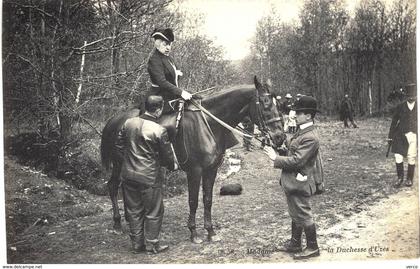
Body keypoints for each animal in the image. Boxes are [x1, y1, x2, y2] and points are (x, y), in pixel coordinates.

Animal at [101, 76, 286, 243]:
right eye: (265, 103)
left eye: (278, 104)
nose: (279, 137)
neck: (208, 124)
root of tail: (115, 119)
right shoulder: (194, 171)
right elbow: (193, 200)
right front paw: (194, 232)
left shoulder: (211, 169)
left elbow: (207, 199)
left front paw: (210, 231)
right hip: (119, 163)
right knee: (113, 186)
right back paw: (117, 223)